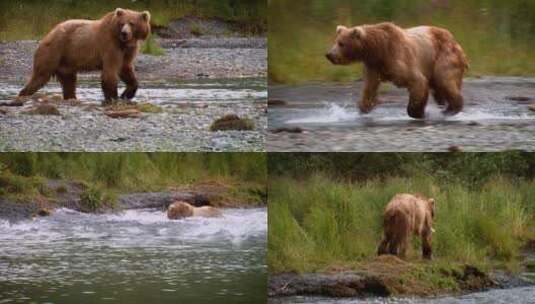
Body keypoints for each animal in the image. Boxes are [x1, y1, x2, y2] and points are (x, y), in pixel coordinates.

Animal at [18, 8, 151, 103]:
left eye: (132, 23)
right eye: (122, 23)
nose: (124, 33)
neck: (123, 42)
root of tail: (48, 34)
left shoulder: (127, 51)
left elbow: (126, 69)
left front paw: (126, 94)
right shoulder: (110, 46)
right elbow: (110, 73)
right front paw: (113, 98)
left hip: (66, 63)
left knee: (69, 83)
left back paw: (71, 98)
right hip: (54, 51)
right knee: (40, 75)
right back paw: (23, 94)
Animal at [324, 21, 466, 118]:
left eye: (342, 43)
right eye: (335, 41)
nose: (329, 55)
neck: (377, 50)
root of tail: (453, 38)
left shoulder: (398, 57)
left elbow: (417, 81)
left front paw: (416, 112)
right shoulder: (373, 66)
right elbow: (370, 87)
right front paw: (363, 108)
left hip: (443, 55)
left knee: (445, 79)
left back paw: (451, 109)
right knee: (438, 87)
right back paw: (445, 105)